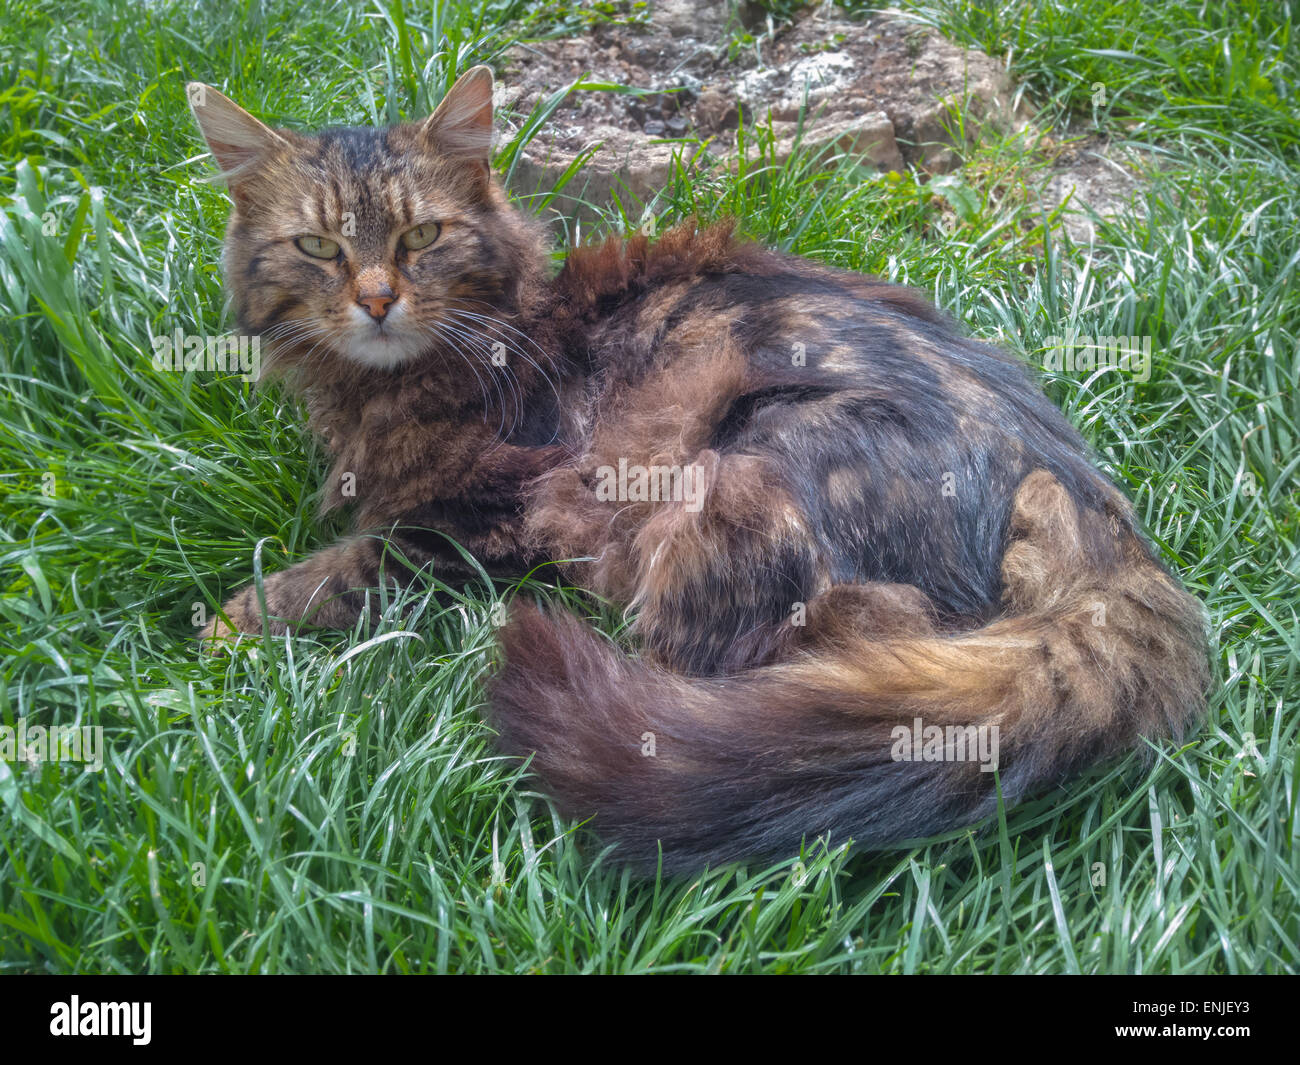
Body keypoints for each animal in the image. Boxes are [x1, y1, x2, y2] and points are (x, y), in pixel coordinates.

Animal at [188, 66, 1211, 873]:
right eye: (318, 247)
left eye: (421, 238)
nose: (375, 300)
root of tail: (1085, 504)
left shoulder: (481, 519)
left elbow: (339, 568)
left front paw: (224, 625)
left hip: (732, 481)